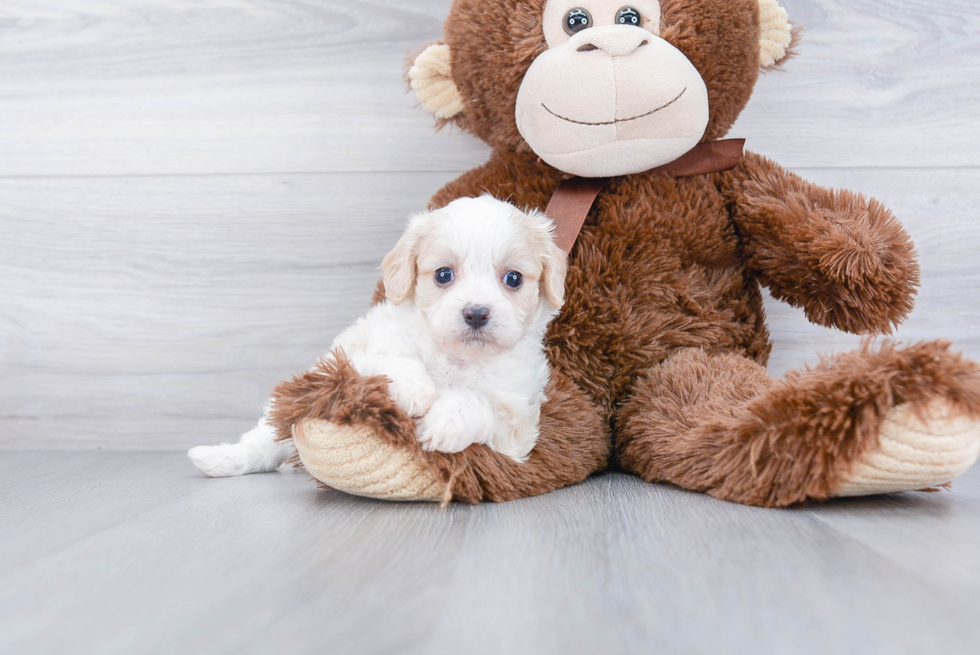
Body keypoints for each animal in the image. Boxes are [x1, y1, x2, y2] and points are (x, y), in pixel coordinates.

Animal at [189, 195, 568, 476]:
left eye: (513, 279)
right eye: (443, 274)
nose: (476, 313)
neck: (457, 358)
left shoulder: (518, 428)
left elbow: (481, 403)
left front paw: (446, 421)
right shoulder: (352, 358)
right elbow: (392, 361)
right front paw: (415, 392)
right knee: (263, 441)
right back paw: (217, 459)